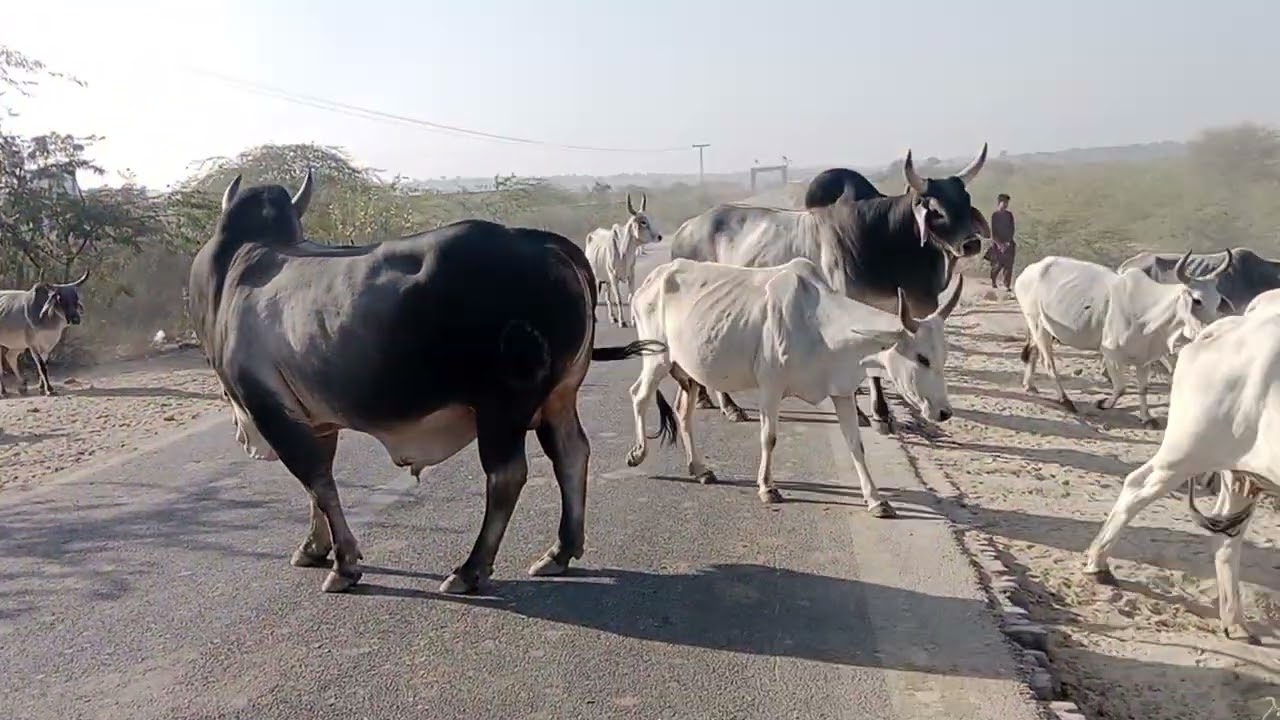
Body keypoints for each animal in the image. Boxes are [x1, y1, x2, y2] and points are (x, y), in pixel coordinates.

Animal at [585, 192, 663, 327]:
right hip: (597, 277)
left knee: (607, 297)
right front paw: (622, 321)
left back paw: (612, 317)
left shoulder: (631, 275)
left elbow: (631, 297)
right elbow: (619, 299)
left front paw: (633, 321)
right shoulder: (613, 278)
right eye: (643, 222)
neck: (623, 253)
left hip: (607, 281)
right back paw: (597, 318)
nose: (659, 237)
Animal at [622, 256, 962, 516]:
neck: (820, 325)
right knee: (639, 396)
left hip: (688, 371)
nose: (944, 412)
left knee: (683, 412)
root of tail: (653, 278)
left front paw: (876, 500)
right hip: (657, 358)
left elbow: (856, 445)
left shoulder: (841, 392)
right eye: (921, 358)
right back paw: (638, 453)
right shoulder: (770, 387)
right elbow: (769, 437)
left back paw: (700, 468)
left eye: (943, 356)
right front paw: (767, 487)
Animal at [667, 145, 989, 435]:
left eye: (965, 200)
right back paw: (729, 406)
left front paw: (881, 412)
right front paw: (871, 413)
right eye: (934, 208)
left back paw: (707, 398)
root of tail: (685, 229)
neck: (881, 240)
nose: (971, 243)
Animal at [1014, 250, 1231, 427]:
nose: (1214, 329)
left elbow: (1143, 388)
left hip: (1042, 327)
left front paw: (1147, 417)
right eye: (1197, 300)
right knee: (1048, 363)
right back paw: (1065, 400)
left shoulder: (1145, 359)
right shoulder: (1110, 354)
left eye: (1218, 300)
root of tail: (1028, 271)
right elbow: (1121, 388)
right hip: (1037, 324)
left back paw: (1029, 385)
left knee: (1032, 353)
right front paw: (1102, 403)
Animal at [1082, 299, 1280, 645]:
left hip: (1241, 473)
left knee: (1227, 537)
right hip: (1187, 451)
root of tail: (1226, 326)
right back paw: (1098, 563)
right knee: (1136, 486)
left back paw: (1235, 621)